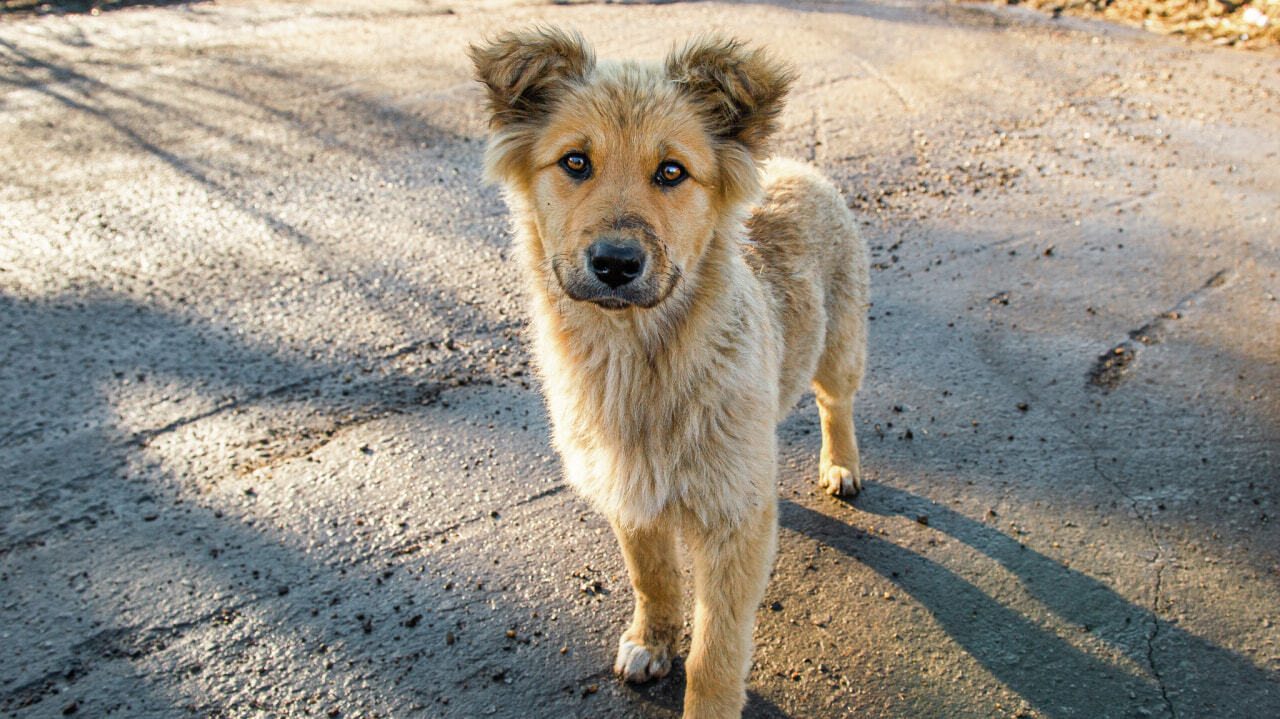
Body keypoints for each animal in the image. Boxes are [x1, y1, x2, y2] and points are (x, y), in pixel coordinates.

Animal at [471, 29, 870, 716]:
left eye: (672, 172)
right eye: (575, 162)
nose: (614, 264)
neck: (638, 361)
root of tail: (798, 166)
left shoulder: (735, 523)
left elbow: (716, 651)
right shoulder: (629, 492)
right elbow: (652, 578)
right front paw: (651, 642)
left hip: (839, 349)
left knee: (834, 405)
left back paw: (840, 464)